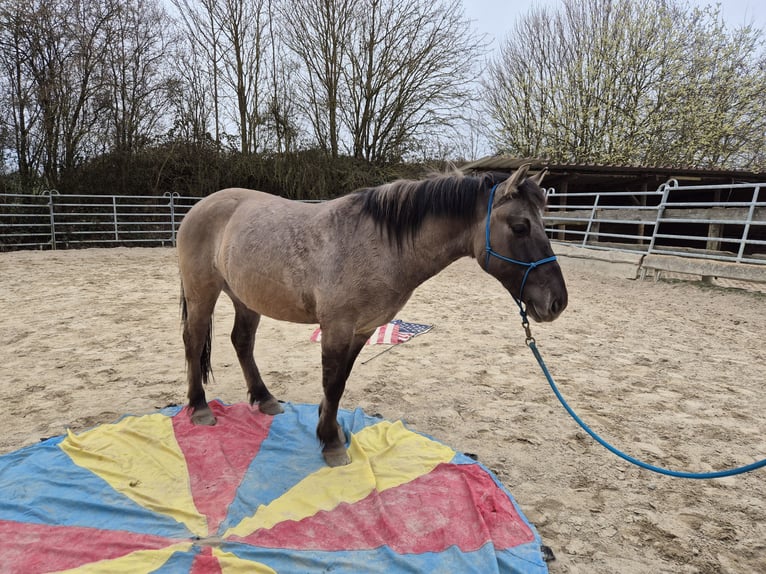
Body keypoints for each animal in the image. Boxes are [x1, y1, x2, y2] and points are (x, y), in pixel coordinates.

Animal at [177, 165, 568, 468]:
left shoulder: (363, 330)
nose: (557, 302)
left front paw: (331, 429)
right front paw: (331, 444)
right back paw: (199, 407)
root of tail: (199, 207)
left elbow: (339, 383)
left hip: (246, 298)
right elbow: (332, 383)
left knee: (242, 342)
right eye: (519, 226)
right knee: (193, 342)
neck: (379, 244)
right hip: (202, 293)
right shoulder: (337, 327)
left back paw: (264, 399)